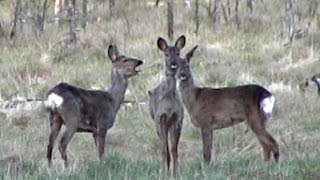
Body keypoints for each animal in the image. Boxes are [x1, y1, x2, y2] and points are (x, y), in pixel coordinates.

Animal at [149, 35, 186, 177]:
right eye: (166, 54)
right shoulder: (160, 119)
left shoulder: (177, 119)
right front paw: (164, 174)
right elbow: (164, 150)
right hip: (157, 125)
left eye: (178, 53)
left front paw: (176, 174)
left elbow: (174, 150)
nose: (173, 64)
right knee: (164, 147)